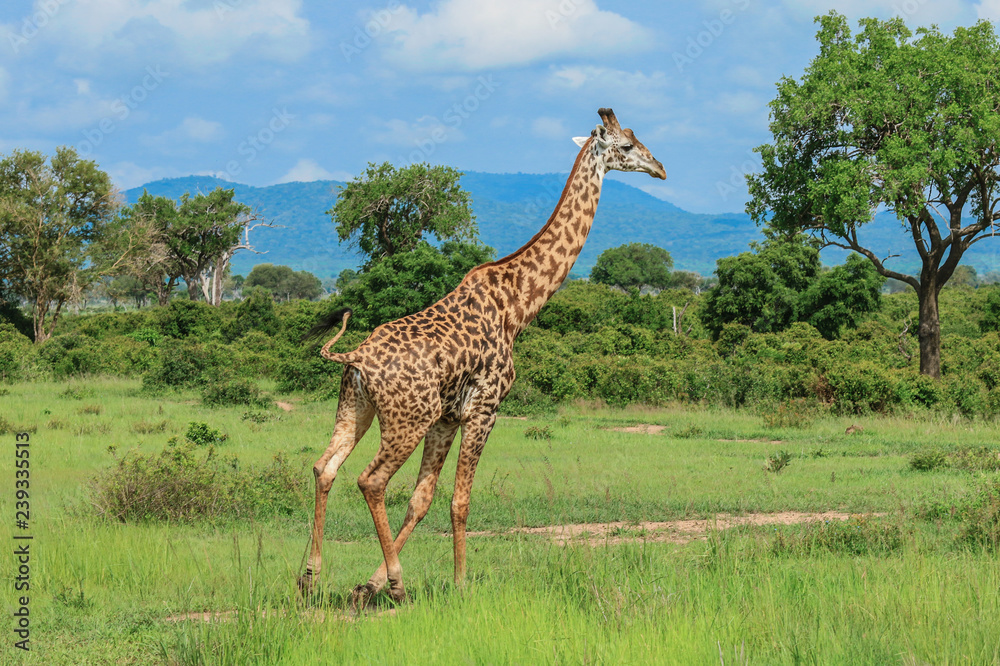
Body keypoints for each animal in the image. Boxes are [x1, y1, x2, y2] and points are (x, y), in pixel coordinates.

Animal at [298, 108, 666, 605]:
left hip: (356, 408)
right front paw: (459, 583)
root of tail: (355, 357)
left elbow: (422, 499)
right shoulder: (485, 408)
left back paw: (310, 577)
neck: (518, 306)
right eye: (626, 146)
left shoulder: (447, 417)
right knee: (371, 480)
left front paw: (366, 585)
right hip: (407, 418)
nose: (660, 168)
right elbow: (460, 500)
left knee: (326, 467)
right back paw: (397, 582)